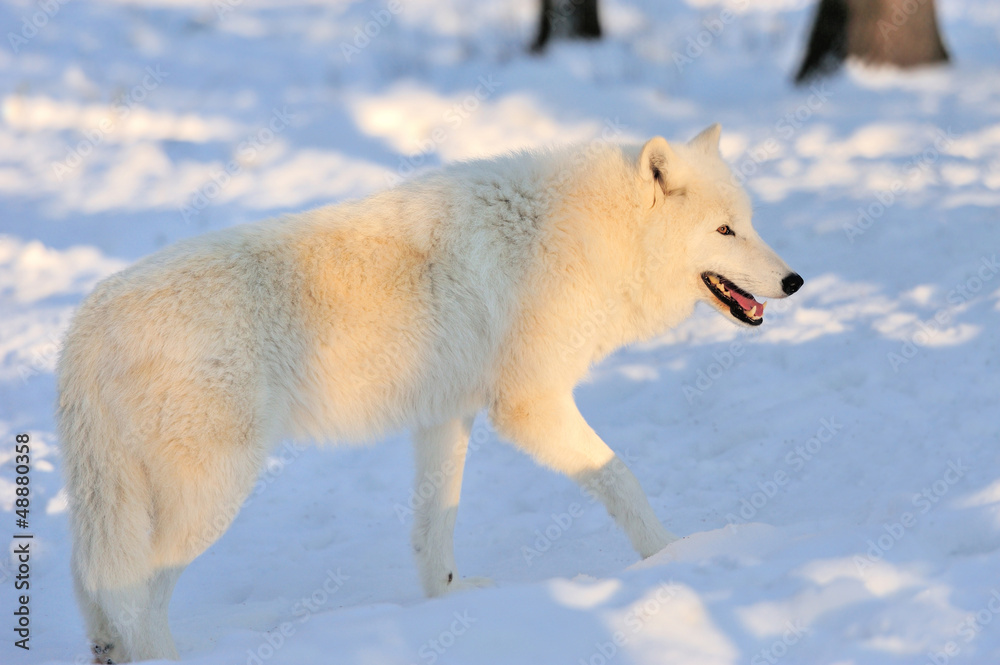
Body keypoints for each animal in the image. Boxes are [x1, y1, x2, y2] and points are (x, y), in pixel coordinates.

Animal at [58, 124, 802, 662]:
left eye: (749, 222)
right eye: (725, 230)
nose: (794, 280)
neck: (580, 237)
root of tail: (83, 327)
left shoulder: (446, 414)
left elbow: (435, 524)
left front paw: (447, 603)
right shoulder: (529, 405)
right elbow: (620, 476)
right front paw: (674, 555)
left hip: (127, 502)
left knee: (91, 585)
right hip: (208, 496)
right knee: (131, 596)